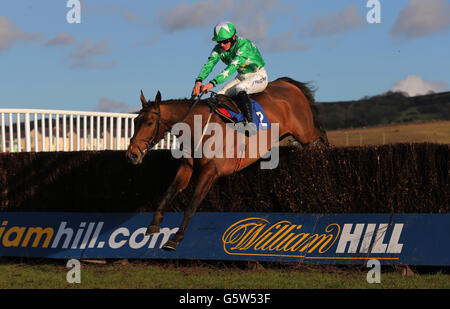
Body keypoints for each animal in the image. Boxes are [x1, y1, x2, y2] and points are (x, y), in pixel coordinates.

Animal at [125, 77, 328, 250]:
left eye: (150, 123)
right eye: (135, 122)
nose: (131, 154)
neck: (199, 127)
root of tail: (287, 83)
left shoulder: (210, 171)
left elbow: (192, 205)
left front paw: (175, 239)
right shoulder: (187, 167)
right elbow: (168, 193)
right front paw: (153, 224)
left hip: (305, 132)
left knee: (321, 134)